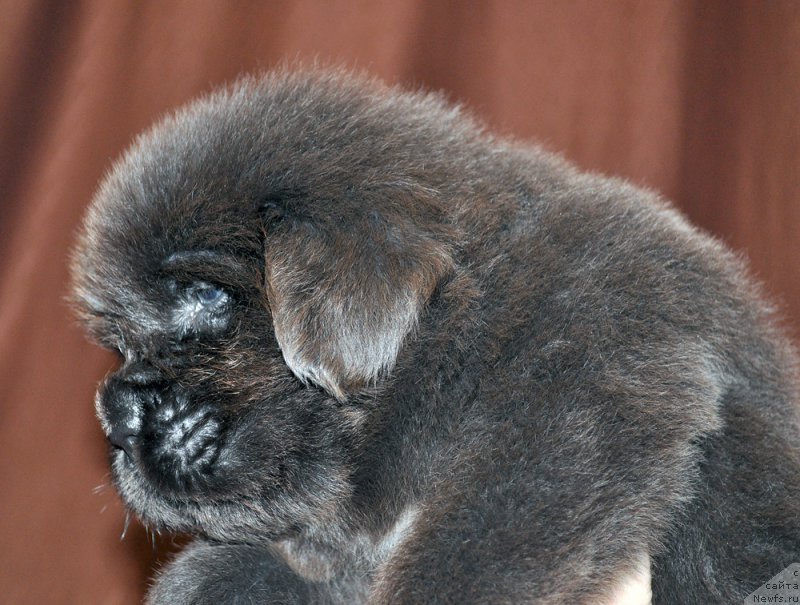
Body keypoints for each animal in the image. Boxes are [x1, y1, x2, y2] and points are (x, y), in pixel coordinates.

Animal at [70, 68, 800, 600]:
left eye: (208, 296)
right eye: (120, 343)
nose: (118, 410)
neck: (462, 332)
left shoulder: (576, 408)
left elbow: (466, 560)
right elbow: (226, 571)